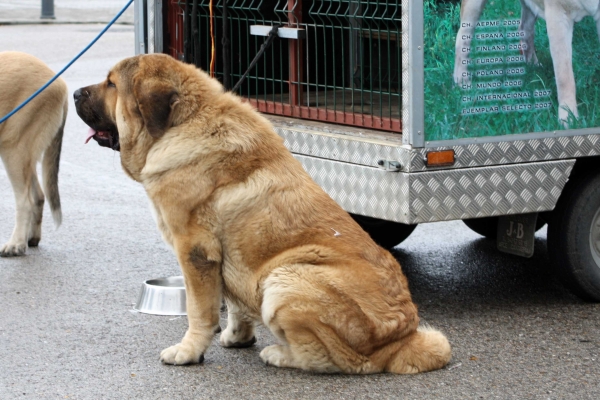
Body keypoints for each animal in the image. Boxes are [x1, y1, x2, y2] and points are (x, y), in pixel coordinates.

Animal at [0, 51, 66, 256]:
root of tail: (59, 82)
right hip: (24, 154)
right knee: (38, 196)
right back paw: (30, 238)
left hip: (13, 149)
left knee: (26, 200)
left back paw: (16, 244)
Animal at [72, 54, 450, 376]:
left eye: (111, 84)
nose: (75, 92)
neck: (181, 124)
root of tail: (401, 338)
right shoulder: (224, 255)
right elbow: (234, 302)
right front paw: (237, 336)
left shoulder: (195, 251)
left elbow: (199, 311)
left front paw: (188, 351)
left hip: (284, 278)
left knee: (339, 360)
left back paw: (280, 355)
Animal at [454, 0, 600, 122]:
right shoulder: (558, 16)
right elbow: (564, 75)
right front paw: (568, 117)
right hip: (473, 7)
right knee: (462, 37)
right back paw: (461, 79)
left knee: (525, 28)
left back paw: (532, 64)